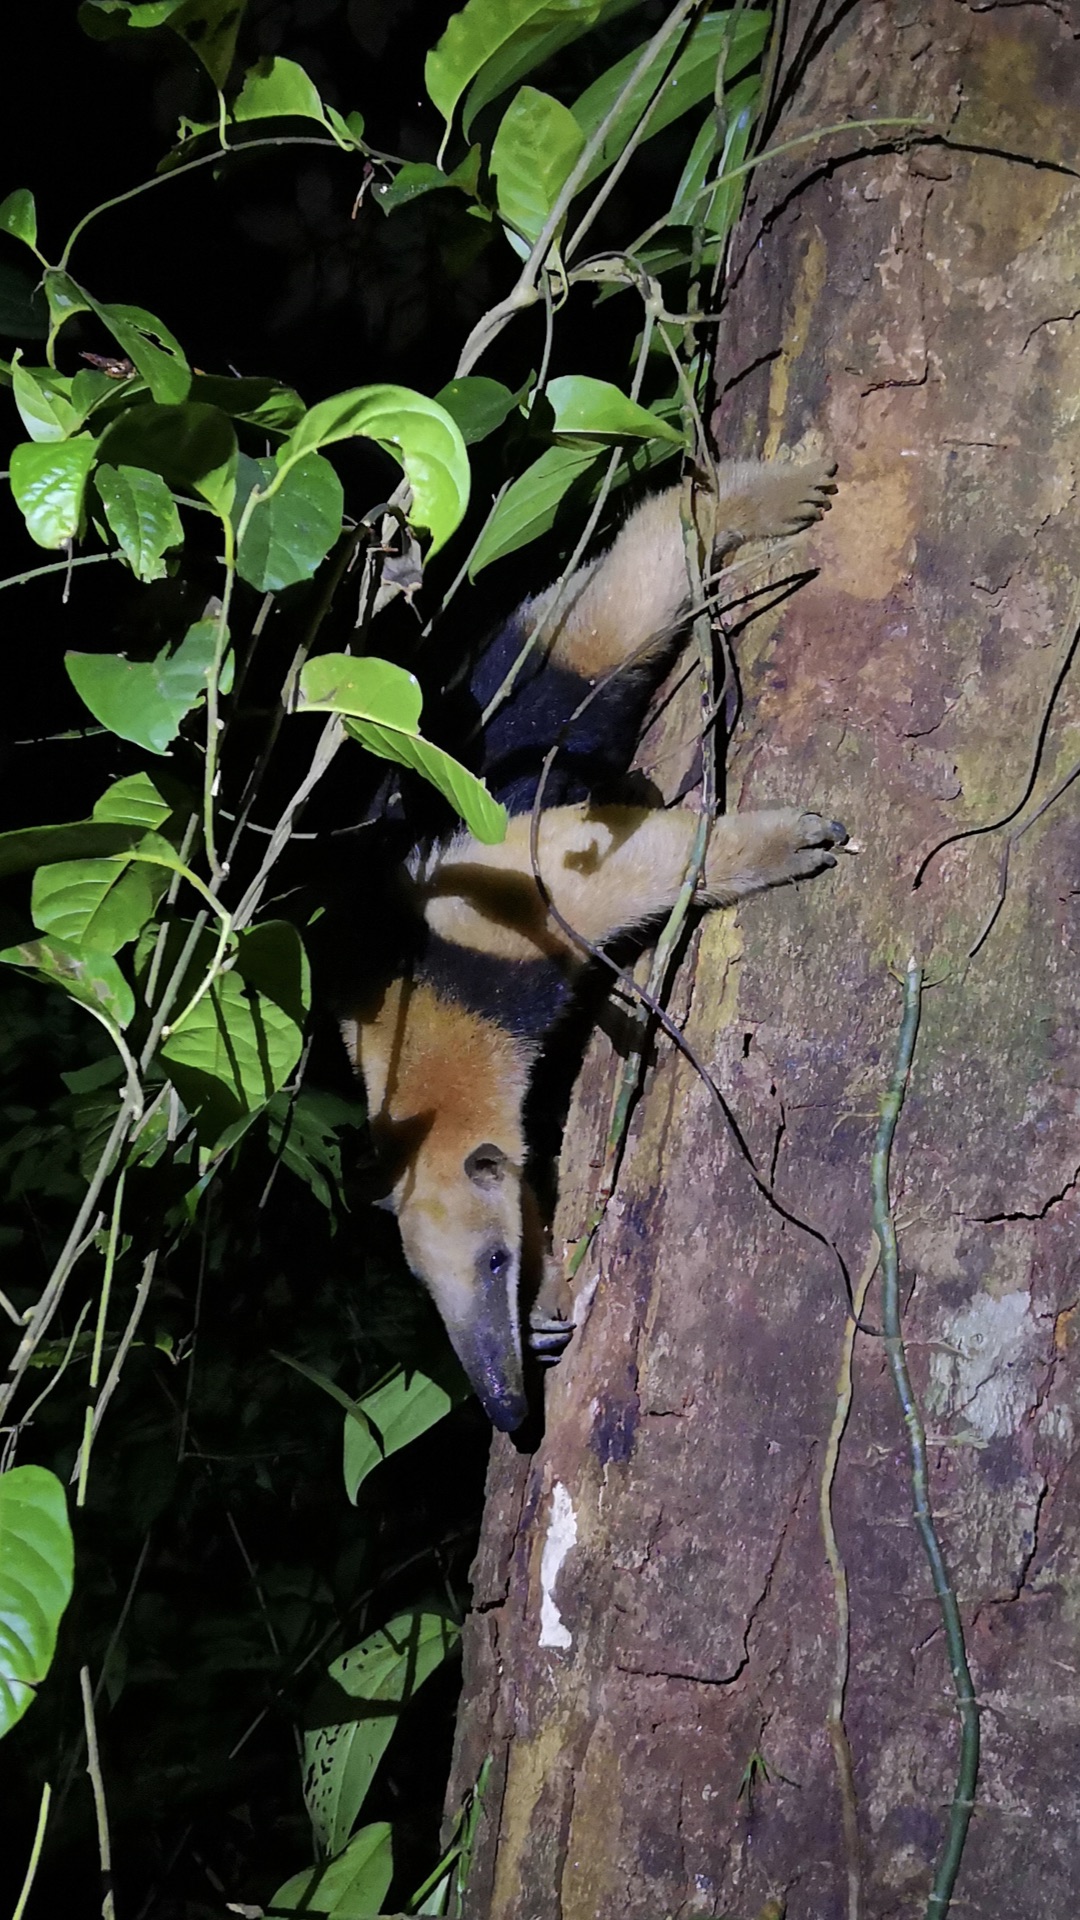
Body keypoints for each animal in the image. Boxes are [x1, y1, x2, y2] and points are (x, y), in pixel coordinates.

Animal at [340, 458, 844, 1431]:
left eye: (492, 1262)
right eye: (427, 1291)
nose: (506, 1407)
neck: (435, 1014)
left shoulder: (524, 897)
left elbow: (639, 863)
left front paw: (791, 844)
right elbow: (527, 1169)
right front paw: (543, 1320)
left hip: (561, 660)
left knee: (634, 587)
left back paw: (762, 502)